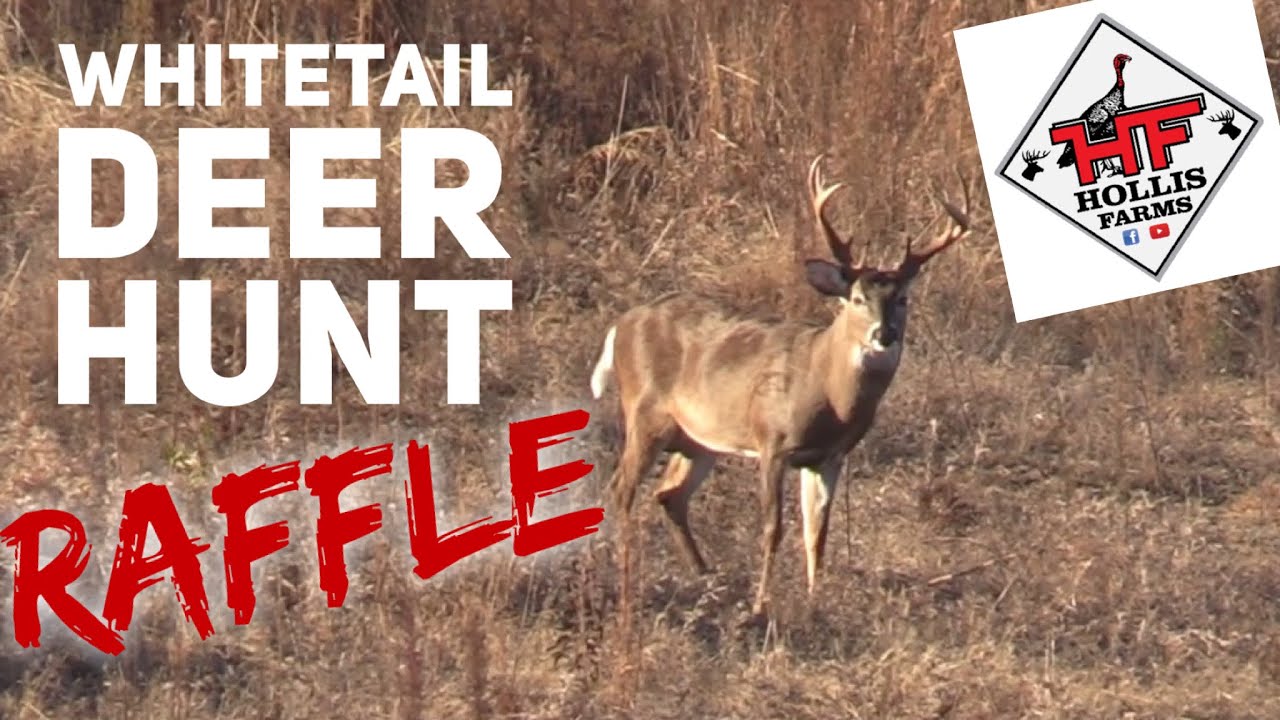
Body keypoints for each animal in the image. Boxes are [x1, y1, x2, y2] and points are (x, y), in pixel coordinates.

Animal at [588, 154, 972, 617]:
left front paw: (814, 598)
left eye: (902, 299)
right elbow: (773, 528)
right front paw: (762, 604)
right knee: (621, 488)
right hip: (646, 413)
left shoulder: (829, 456)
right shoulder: (772, 440)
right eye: (857, 298)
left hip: (697, 438)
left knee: (669, 494)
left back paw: (706, 576)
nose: (885, 334)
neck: (829, 392)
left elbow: (817, 534)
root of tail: (621, 324)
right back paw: (627, 570)